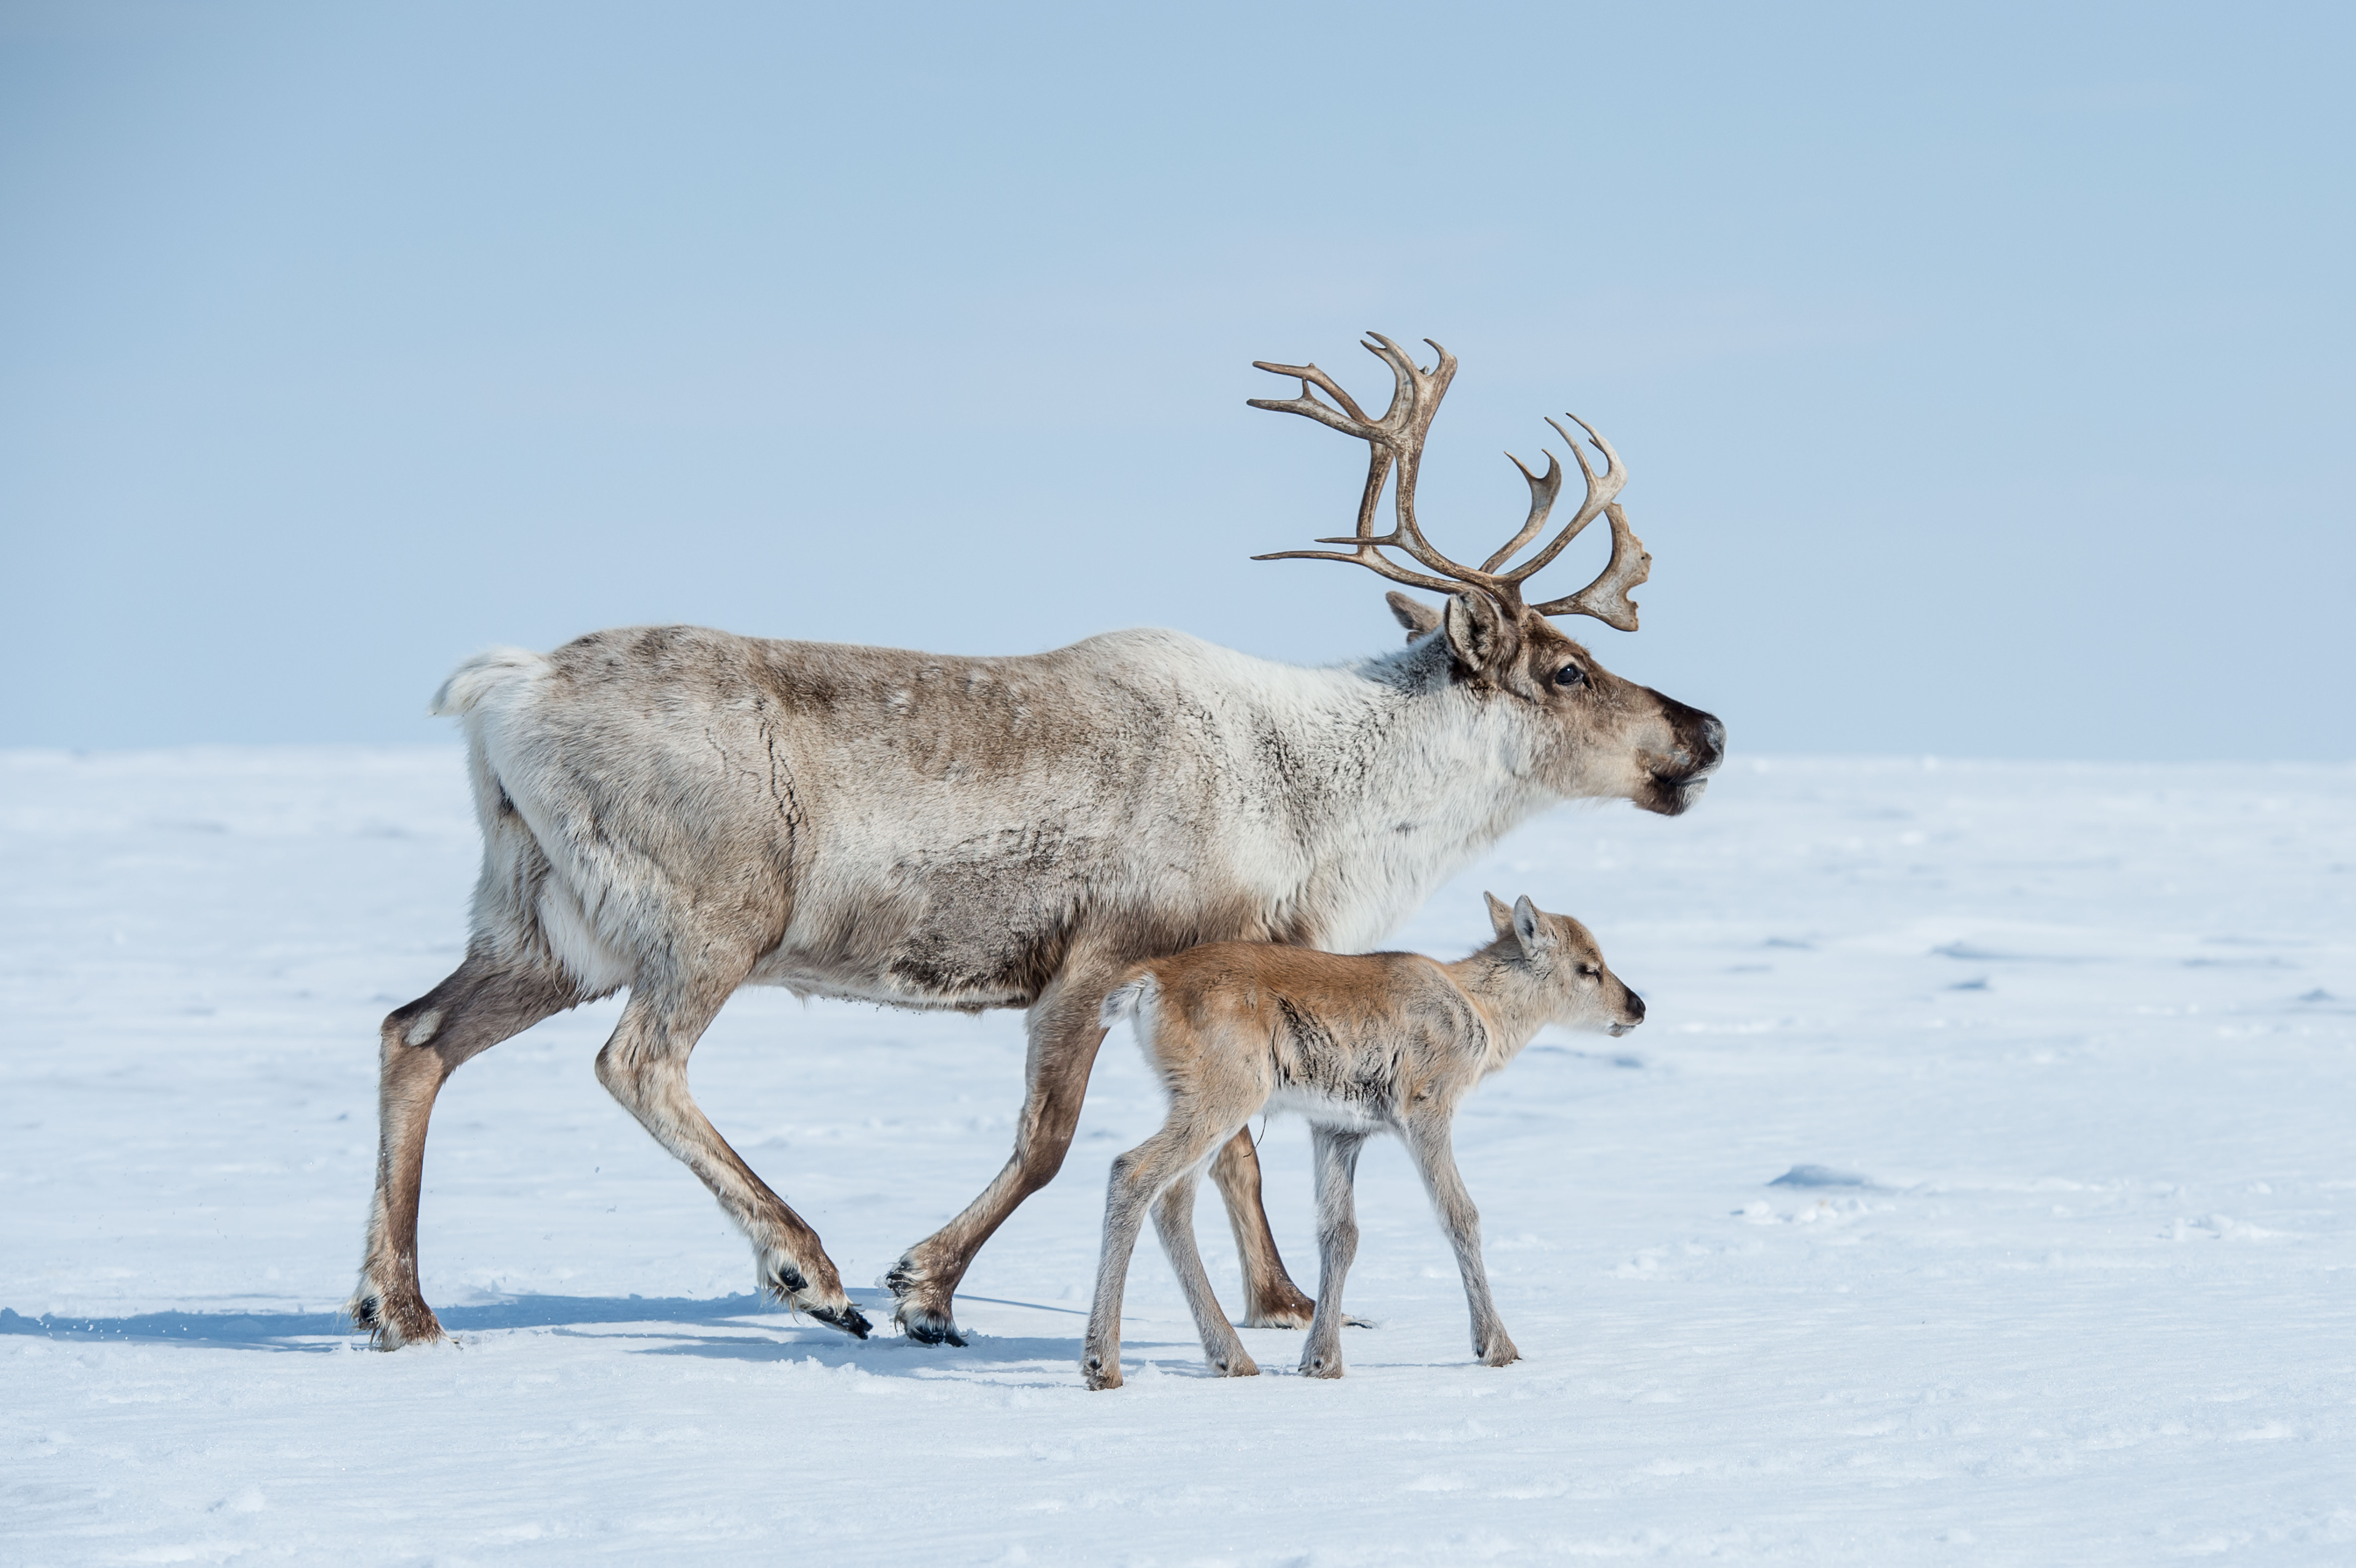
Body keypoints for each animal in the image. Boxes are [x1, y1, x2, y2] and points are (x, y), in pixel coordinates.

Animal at [1079, 885, 1640, 1384]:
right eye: (1587, 968)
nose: (1636, 1007)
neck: (1480, 1010)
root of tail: (1149, 982)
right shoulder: (1426, 1110)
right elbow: (1460, 1215)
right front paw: (1496, 1347)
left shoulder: (1338, 1130)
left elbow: (1339, 1233)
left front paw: (1321, 1360)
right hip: (1224, 1098)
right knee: (1131, 1171)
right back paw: (1103, 1363)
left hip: (1204, 1105)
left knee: (1173, 1202)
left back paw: (1231, 1358)